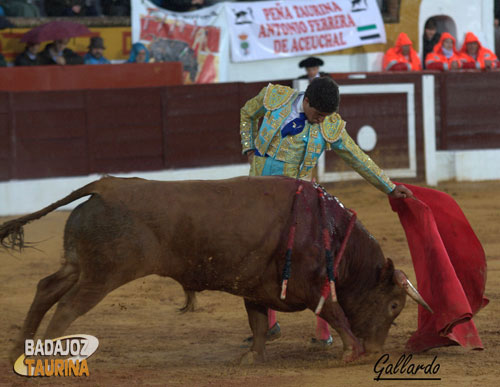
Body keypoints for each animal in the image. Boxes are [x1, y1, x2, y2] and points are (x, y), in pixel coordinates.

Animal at [0, 176, 430, 364]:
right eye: (394, 306)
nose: (376, 350)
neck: (330, 229)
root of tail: (103, 186)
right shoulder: (311, 286)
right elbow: (337, 312)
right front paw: (352, 351)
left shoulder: (258, 287)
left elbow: (258, 322)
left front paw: (252, 358)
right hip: (103, 274)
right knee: (68, 307)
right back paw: (46, 355)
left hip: (79, 265)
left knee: (46, 288)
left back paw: (21, 348)